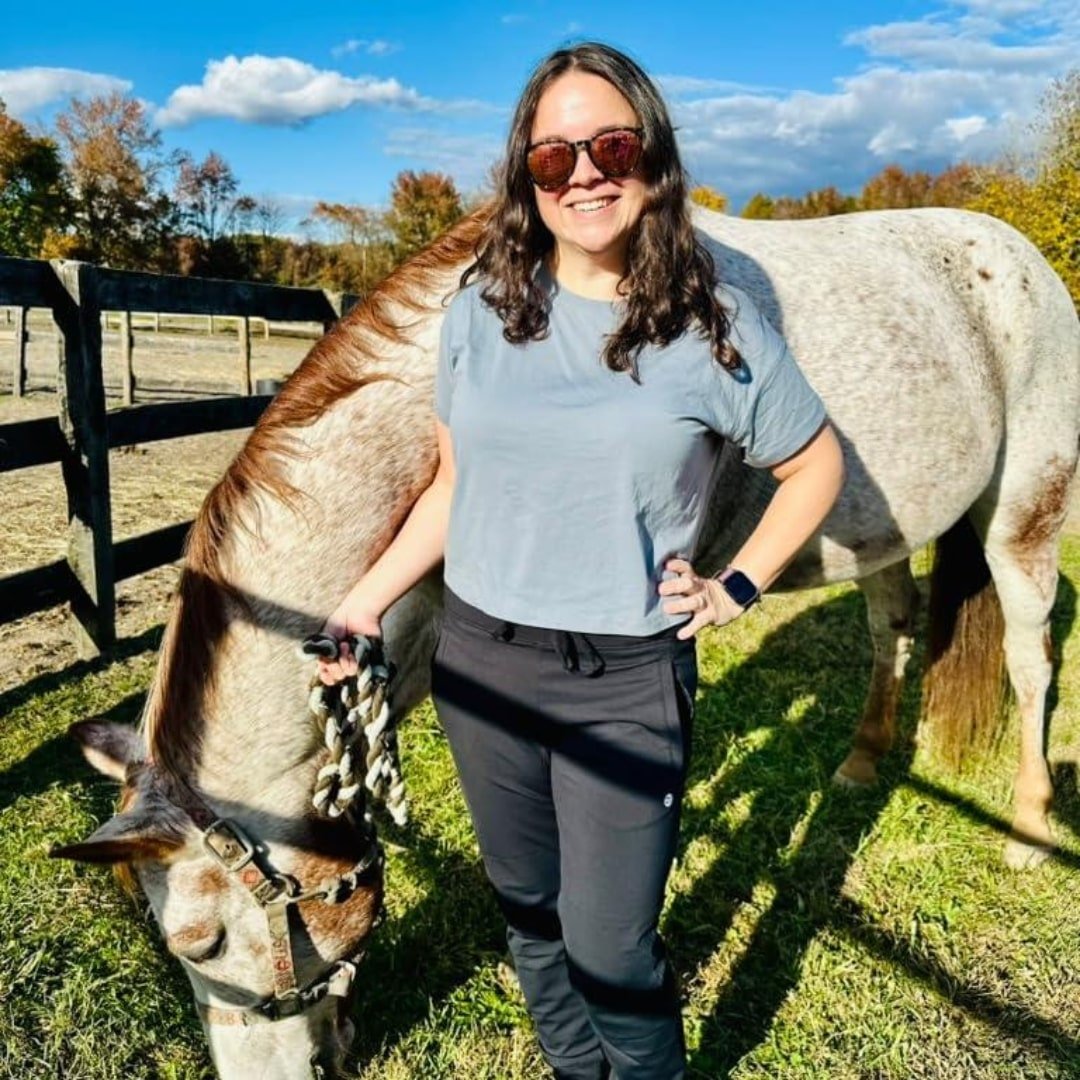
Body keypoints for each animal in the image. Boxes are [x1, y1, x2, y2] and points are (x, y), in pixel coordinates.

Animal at [53, 204, 1080, 1078]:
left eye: (201, 940)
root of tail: (1016, 256)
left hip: (1024, 516)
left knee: (1032, 660)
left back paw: (1030, 826)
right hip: (884, 534)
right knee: (890, 631)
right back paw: (863, 763)